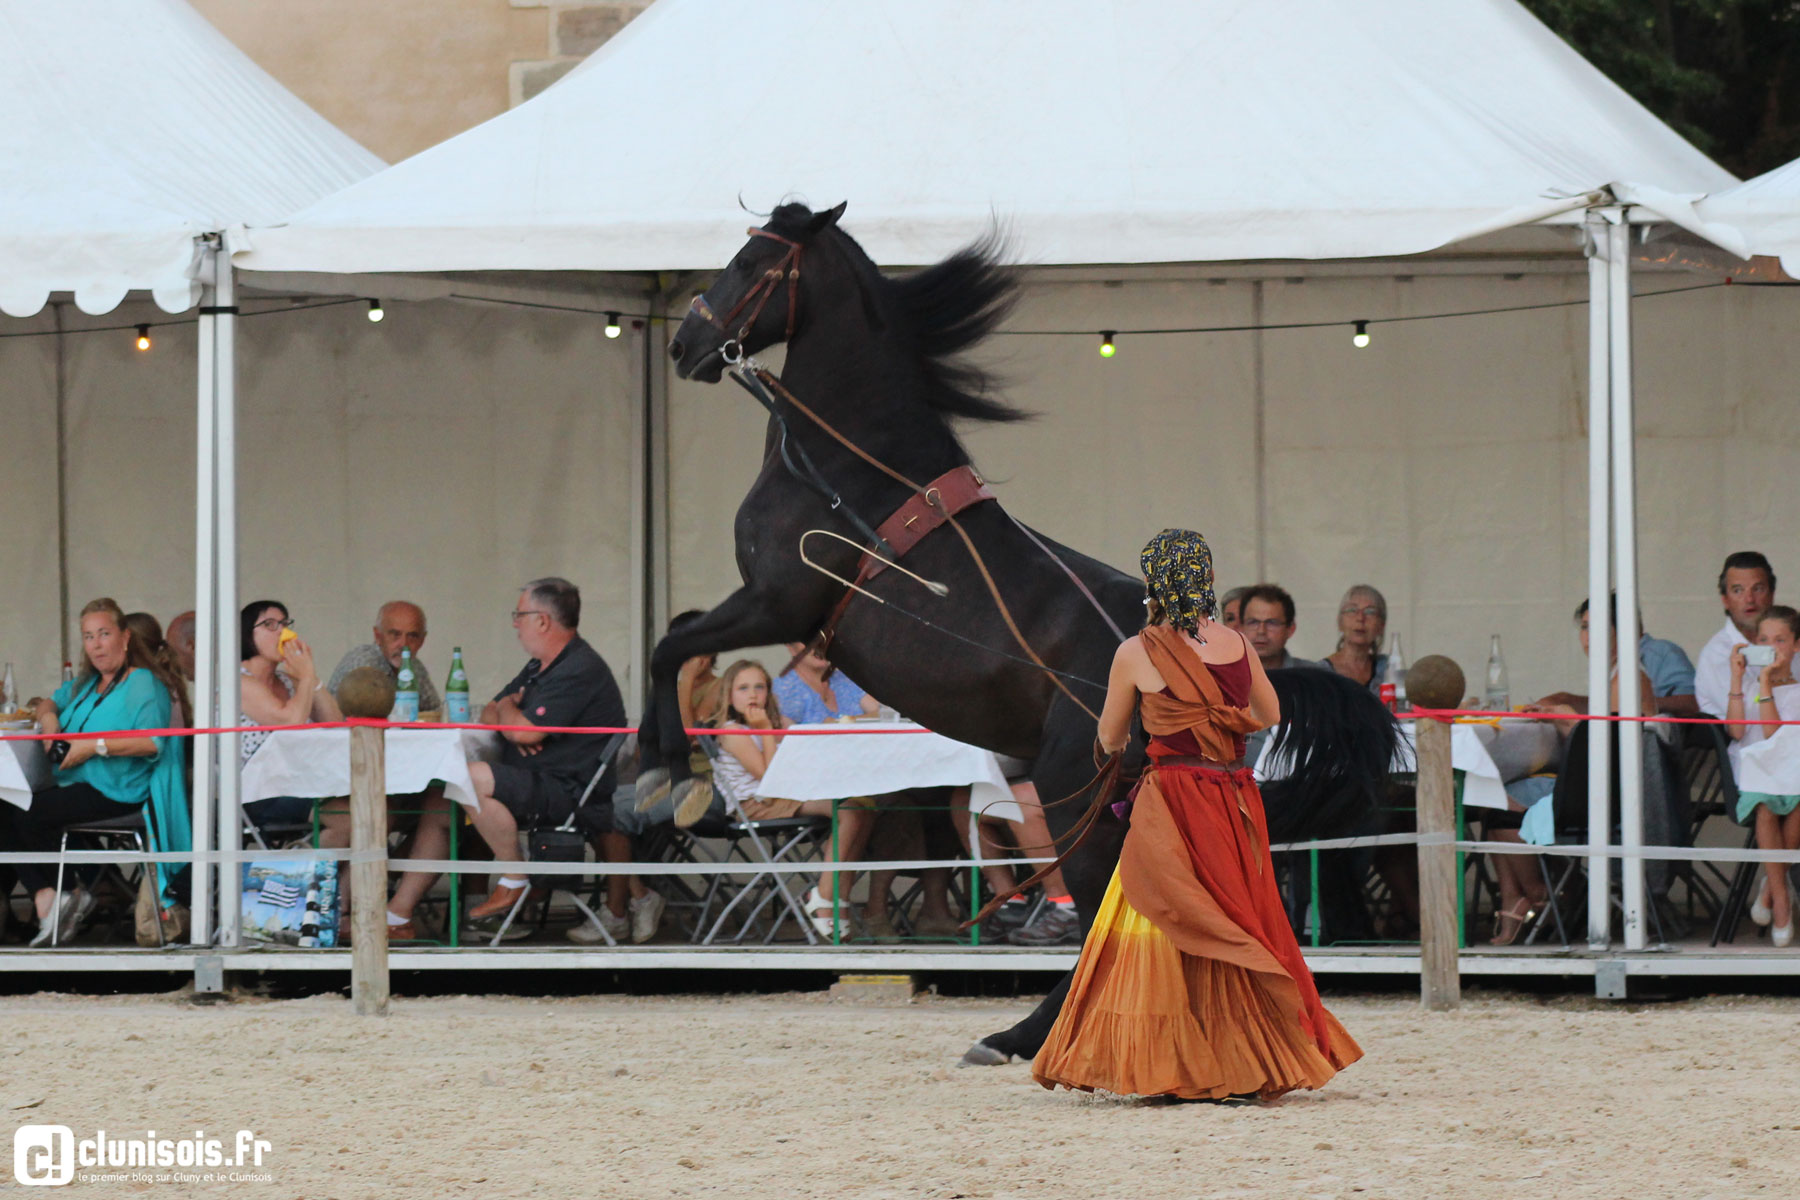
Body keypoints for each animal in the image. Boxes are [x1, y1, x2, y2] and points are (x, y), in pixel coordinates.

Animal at [655, 201, 1396, 1065]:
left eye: (751, 263)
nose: (685, 344)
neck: (851, 472)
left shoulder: (777, 603)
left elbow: (668, 646)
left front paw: (659, 773)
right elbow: (675, 641)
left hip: (1076, 795)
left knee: (1106, 911)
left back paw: (1029, 1035)